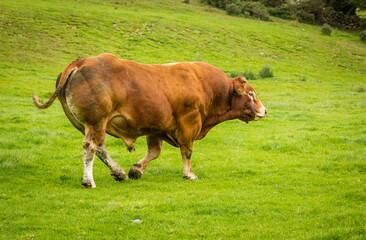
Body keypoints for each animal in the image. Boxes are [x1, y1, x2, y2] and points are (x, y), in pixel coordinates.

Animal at [33, 53, 266, 188]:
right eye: (251, 94)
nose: (264, 110)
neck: (203, 84)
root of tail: (81, 62)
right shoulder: (189, 122)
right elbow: (187, 151)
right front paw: (189, 174)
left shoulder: (156, 127)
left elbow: (154, 152)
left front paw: (136, 169)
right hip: (96, 122)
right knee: (91, 147)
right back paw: (88, 180)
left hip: (89, 125)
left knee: (99, 147)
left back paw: (118, 172)